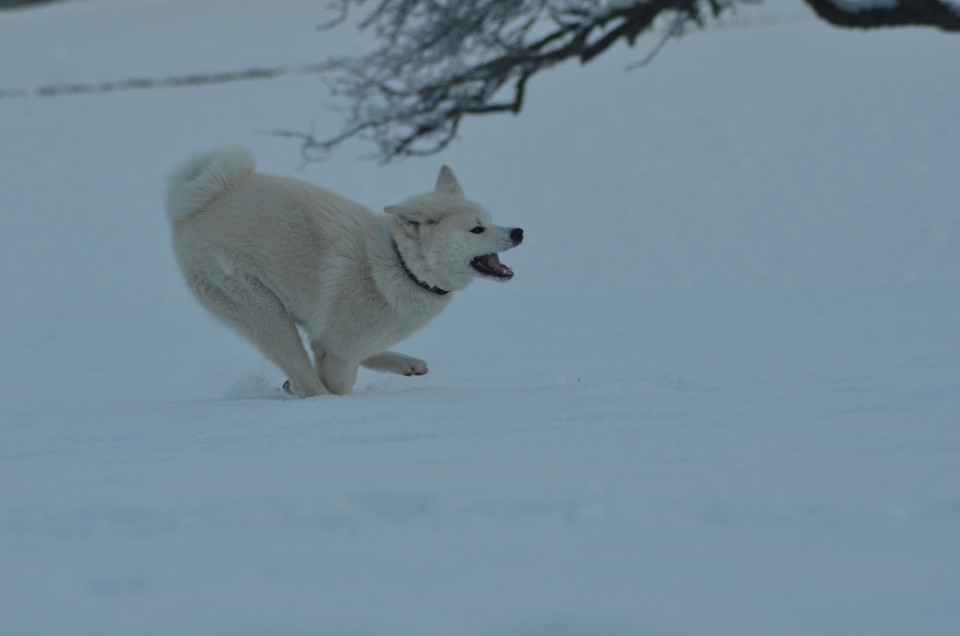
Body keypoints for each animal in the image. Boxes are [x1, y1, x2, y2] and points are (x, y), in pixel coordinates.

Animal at [166, 148, 524, 398]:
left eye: (490, 220)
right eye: (476, 230)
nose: (519, 231)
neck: (402, 264)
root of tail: (203, 201)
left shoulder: (337, 342)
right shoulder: (335, 351)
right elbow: (339, 378)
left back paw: (406, 363)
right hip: (266, 314)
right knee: (307, 379)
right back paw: (317, 397)